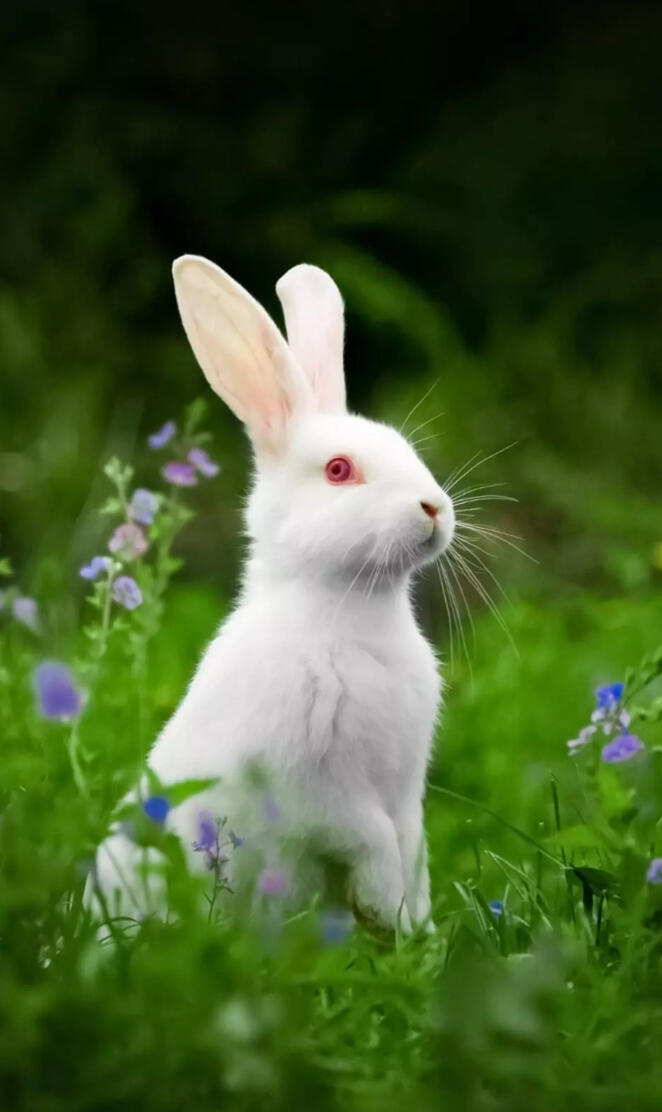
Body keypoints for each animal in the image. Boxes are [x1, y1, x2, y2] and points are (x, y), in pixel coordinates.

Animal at [92, 255, 455, 934]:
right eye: (339, 470)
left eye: (407, 451)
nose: (434, 508)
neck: (351, 614)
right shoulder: (317, 791)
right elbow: (371, 841)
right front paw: (383, 913)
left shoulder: (404, 794)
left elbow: (412, 848)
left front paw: (414, 932)